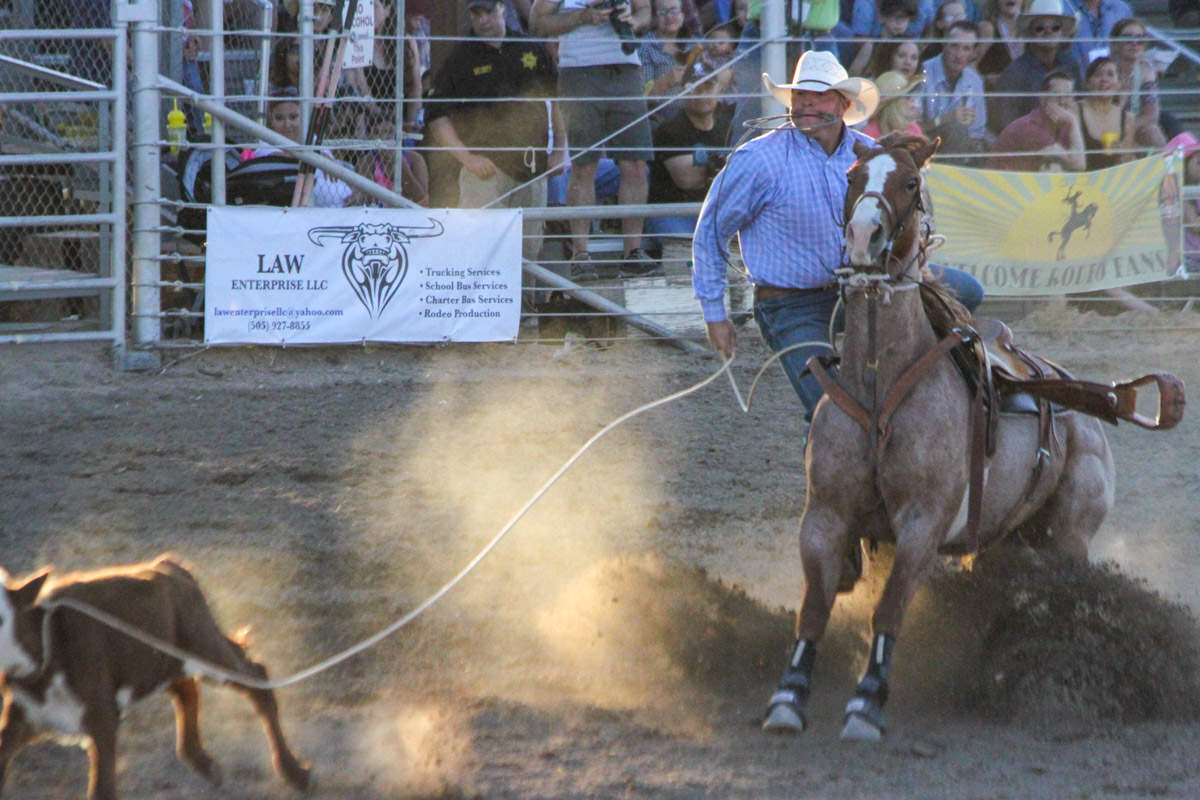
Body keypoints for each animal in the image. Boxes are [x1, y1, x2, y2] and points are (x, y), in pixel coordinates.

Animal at [0, 556, 314, 800]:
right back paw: (206, 764)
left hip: (204, 648)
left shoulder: (102, 719)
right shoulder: (20, 719)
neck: (48, 647)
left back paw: (296, 773)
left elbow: (102, 789)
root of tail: (171, 566)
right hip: (171, 660)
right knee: (185, 689)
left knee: (256, 679)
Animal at [768, 136, 1123, 743]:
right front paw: (788, 697)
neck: (880, 386)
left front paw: (867, 703)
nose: (864, 236)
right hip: (1006, 539)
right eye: (852, 175)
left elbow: (889, 609)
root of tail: (1084, 408)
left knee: (1064, 595)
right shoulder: (825, 515)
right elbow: (813, 608)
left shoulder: (923, 523)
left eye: (910, 183)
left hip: (1070, 534)